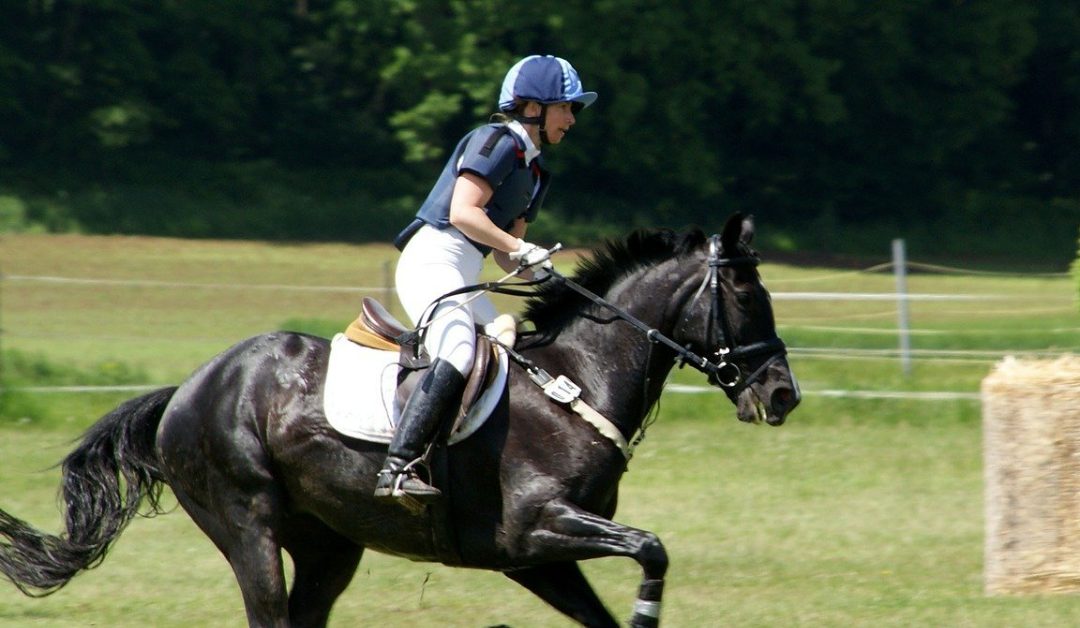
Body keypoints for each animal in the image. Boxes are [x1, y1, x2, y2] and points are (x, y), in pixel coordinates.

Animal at [0, 212, 794, 622]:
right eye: (746, 296)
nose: (783, 394)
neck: (578, 382)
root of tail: (189, 388)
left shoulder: (540, 558)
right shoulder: (533, 531)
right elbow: (652, 549)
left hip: (328, 544)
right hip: (246, 523)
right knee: (268, 608)